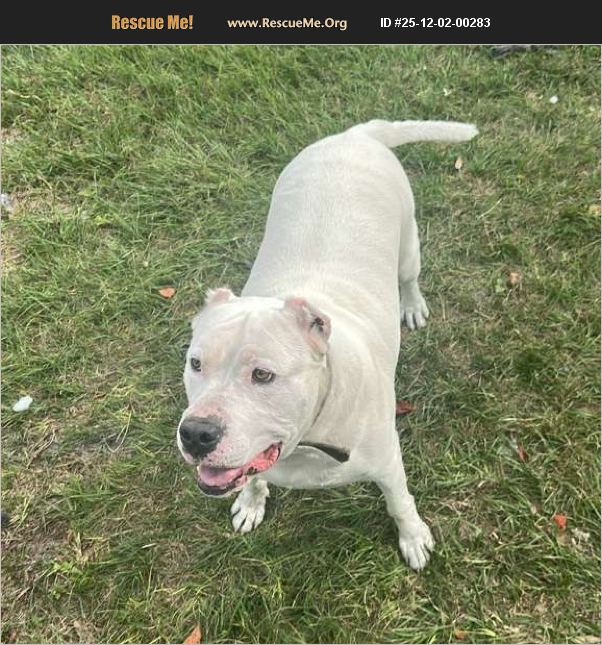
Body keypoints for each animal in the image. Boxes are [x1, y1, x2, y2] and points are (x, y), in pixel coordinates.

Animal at [177, 120, 477, 570]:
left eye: (263, 375)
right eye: (196, 364)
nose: (196, 434)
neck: (308, 437)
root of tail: (358, 134)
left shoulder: (389, 463)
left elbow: (399, 502)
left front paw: (413, 537)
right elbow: (253, 478)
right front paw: (251, 501)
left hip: (409, 244)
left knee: (409, 276)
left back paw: (412, 305)